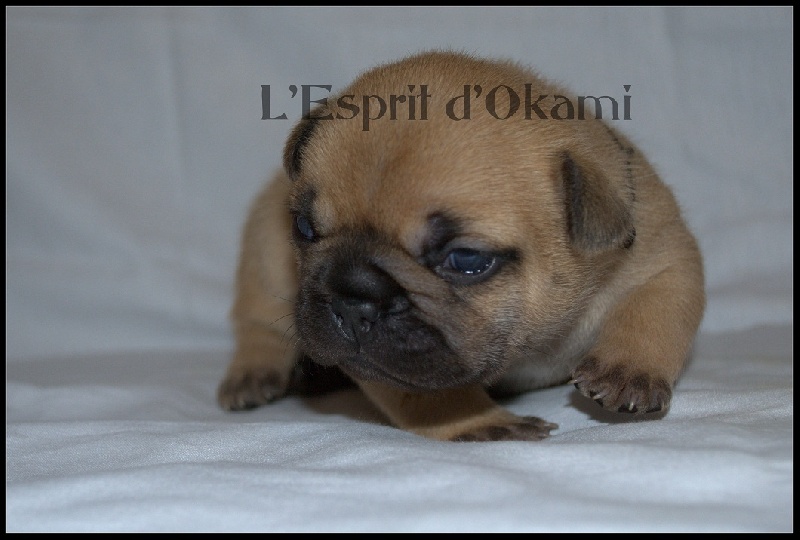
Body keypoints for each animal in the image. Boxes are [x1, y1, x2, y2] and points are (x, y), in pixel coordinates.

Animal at [217, 51, 705, 442]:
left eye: (466, 260)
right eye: (303, 228)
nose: (353, 298)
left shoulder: (662, 254)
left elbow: (656, 309)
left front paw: (629, 370)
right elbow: (425, 393)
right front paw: (481, 422)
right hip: (264, 255)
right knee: (259, 323)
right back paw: (255, 373)